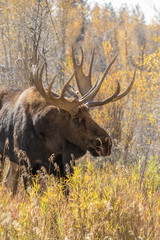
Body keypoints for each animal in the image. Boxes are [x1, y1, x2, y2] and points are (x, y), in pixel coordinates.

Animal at [0, 47, 136, 194]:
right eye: (76, 119)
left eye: (90, 114)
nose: (106, 143)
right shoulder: (27, 164)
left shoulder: (63, 167)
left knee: (9, 182)